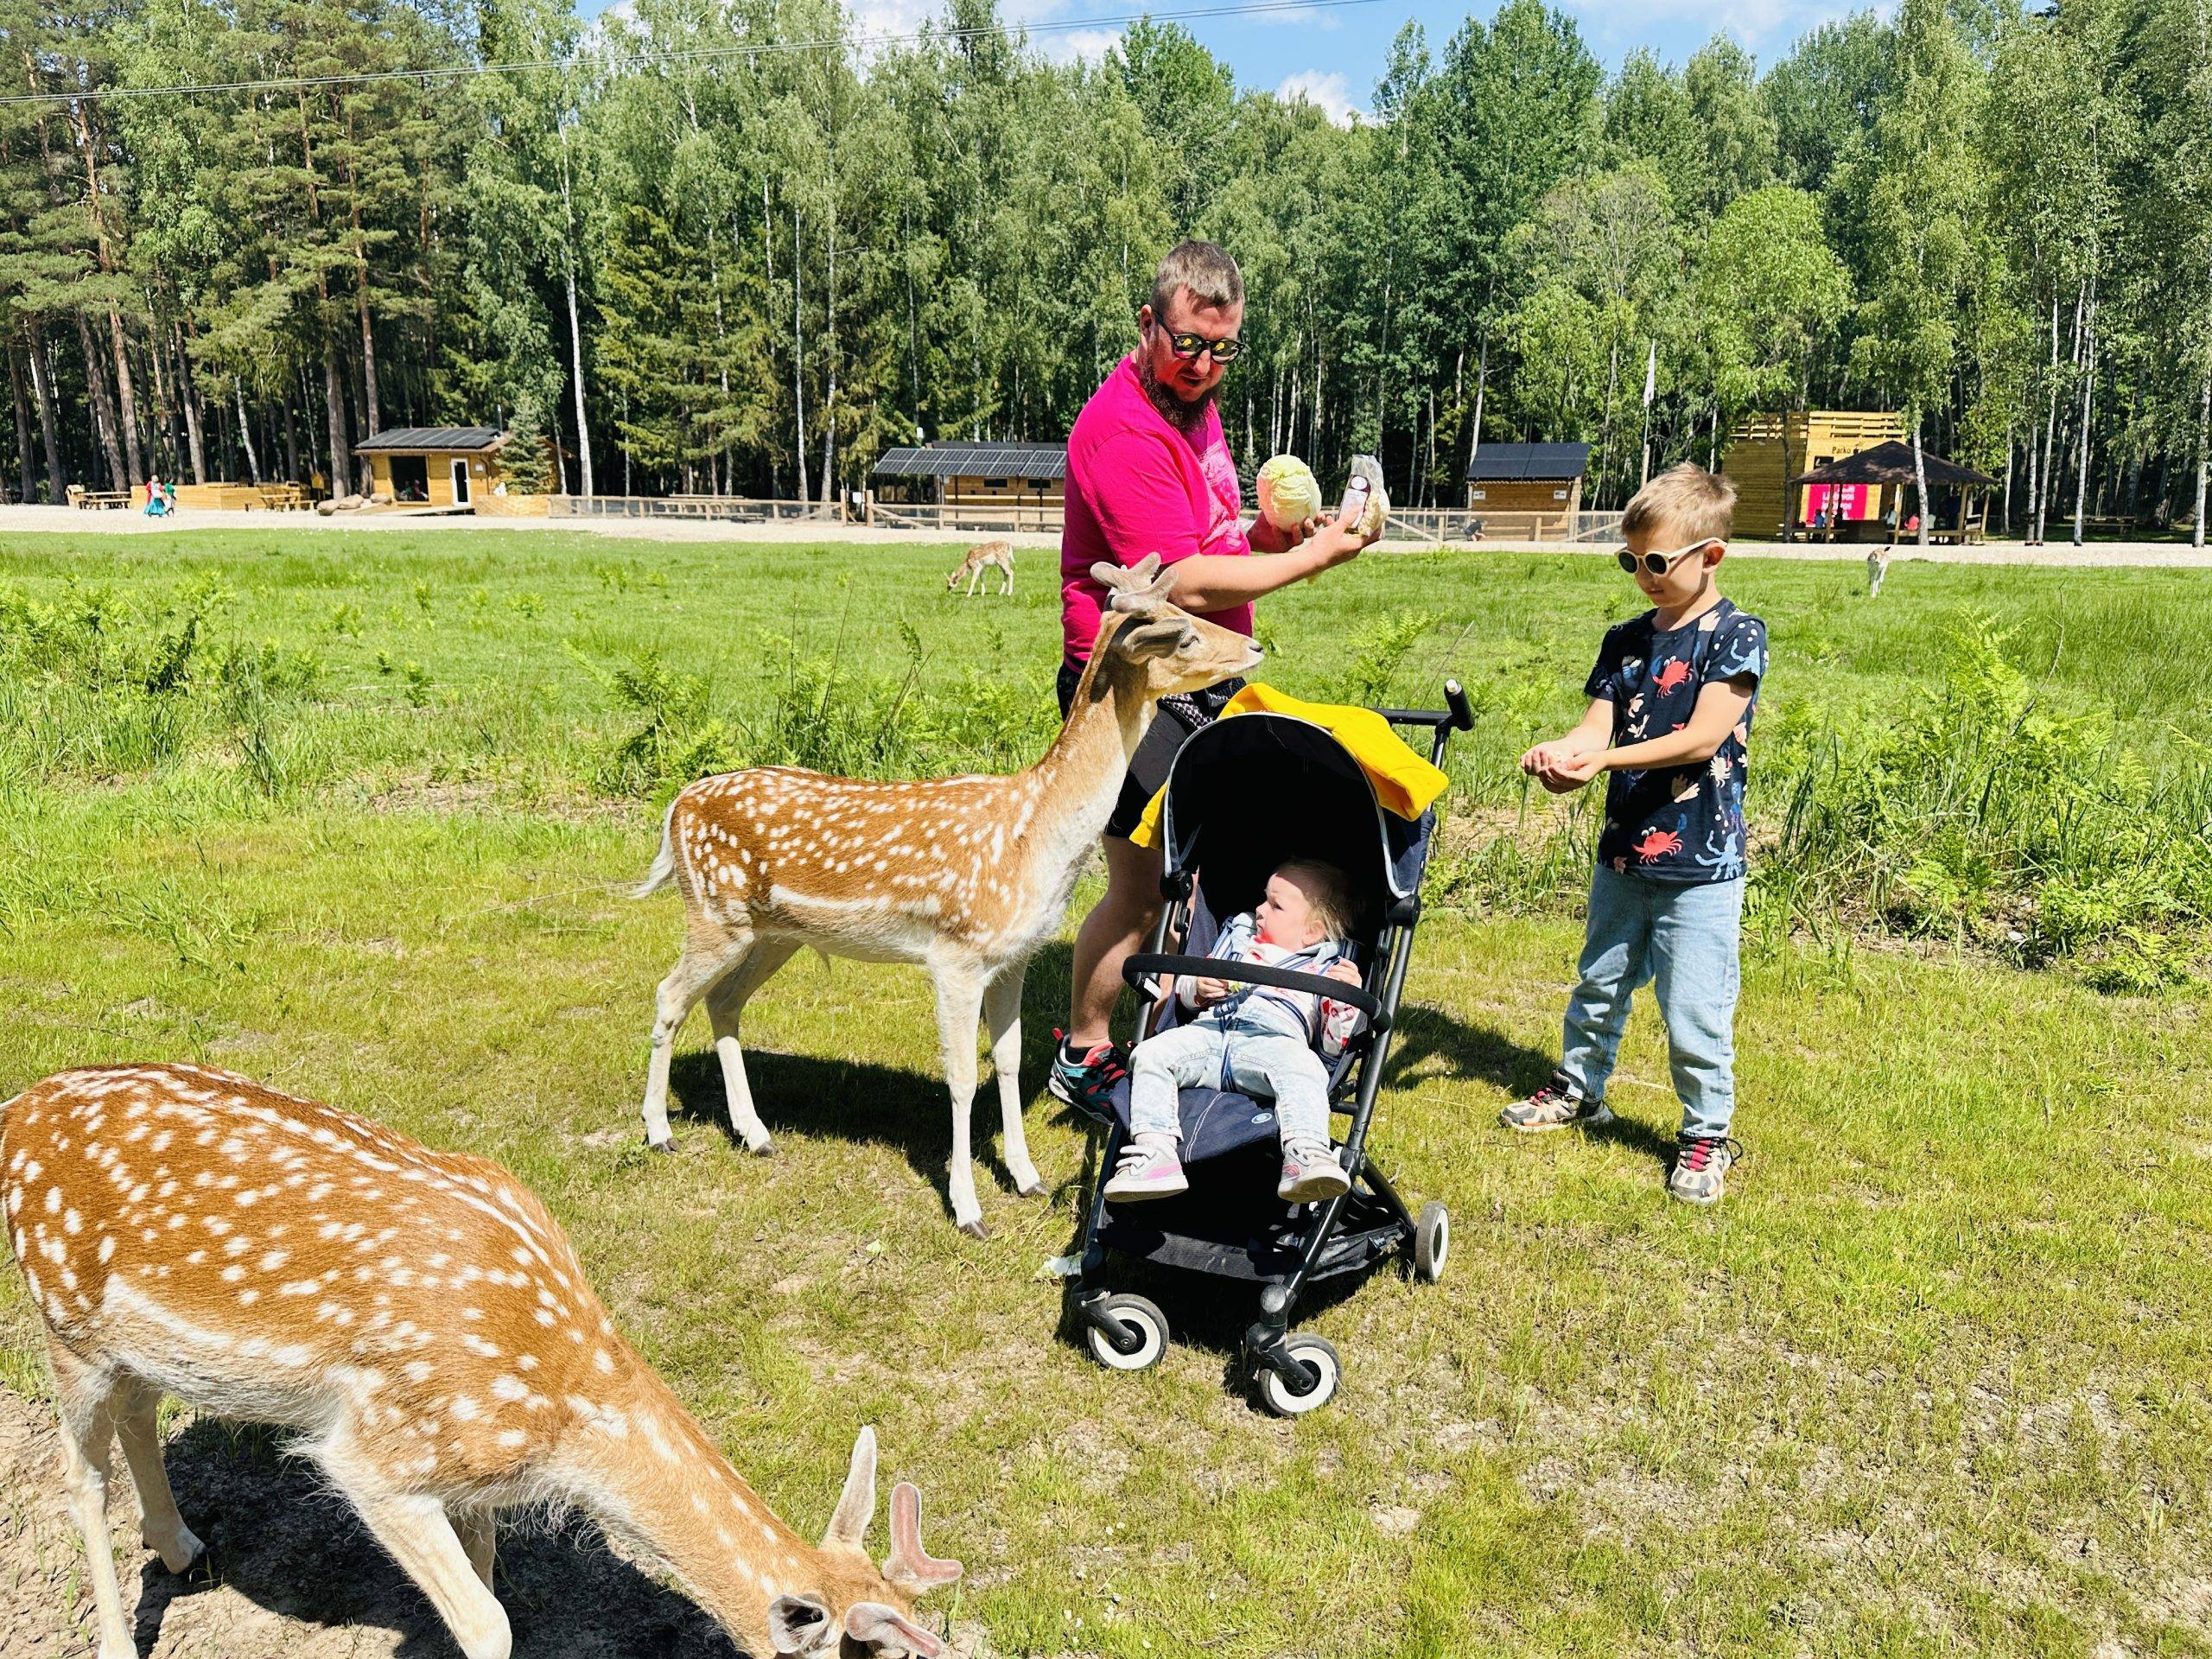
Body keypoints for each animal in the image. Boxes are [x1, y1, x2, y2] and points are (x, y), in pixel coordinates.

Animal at [4, 1065, 964, 1659]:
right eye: (875, 1653)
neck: (560, 1414)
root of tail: (18, 1108)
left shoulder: (468, 1477)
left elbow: (492, 1578)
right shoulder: (378, 1459)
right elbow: (490, 1623)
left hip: (136, 1347)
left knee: (138, 1416)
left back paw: (181, 1546)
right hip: (62, 1318)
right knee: (78, 1475)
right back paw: (118, 1638)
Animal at [641, 559, 1265, 1238]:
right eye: (1183, 636)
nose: (1256, 646)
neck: (1033, 835)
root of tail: (677, 807)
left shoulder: (1013, 956)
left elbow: (1010, 1060)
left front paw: (1025, 1176)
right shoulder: (956, 955)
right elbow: (963, 1077)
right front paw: (968, 1208)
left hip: (774, 933)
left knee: (723, 1003)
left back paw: (755, 1134)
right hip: (714, 915)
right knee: (670, 994)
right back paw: (659, 1131)